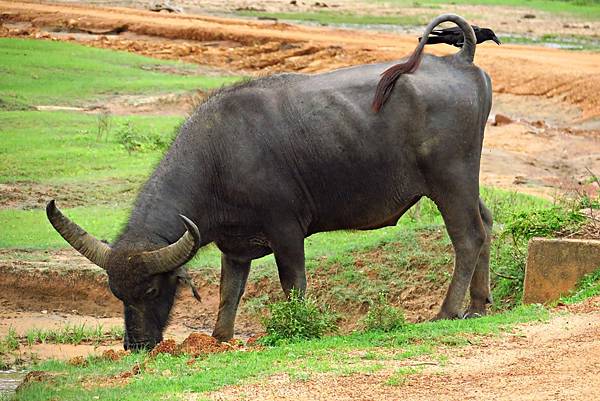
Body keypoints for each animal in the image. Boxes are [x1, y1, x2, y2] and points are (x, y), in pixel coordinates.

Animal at [48, 14, 492, 348]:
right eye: (116, 293)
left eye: (153, 291)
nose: (136, 345)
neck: (218, 158)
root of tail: (461, 60)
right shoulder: (234, 247)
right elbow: (229, 292)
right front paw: (219, 338)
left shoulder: (286, 229)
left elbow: (292, 283)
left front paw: (297, 327)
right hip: (466, 182)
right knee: (485, 225)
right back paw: (479, 305)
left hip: (450, 181)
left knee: (467, 237)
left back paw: (447, 311)